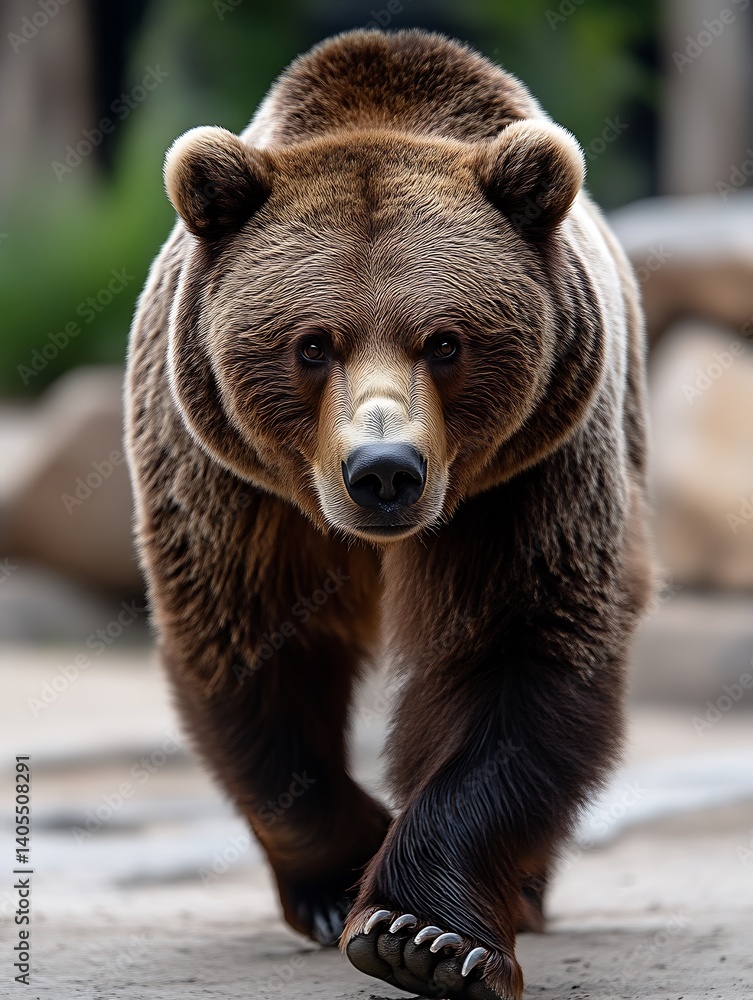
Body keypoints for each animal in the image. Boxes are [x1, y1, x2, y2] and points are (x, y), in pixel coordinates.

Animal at [125, 28, 652, 1000]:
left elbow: (512, 649)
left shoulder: (528, 476)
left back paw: (521, 894)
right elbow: (256, 649)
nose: (383, 472)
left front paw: (425, 934)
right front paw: (338, 882)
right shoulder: (231, 483)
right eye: (310, 343)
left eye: (444, 341)